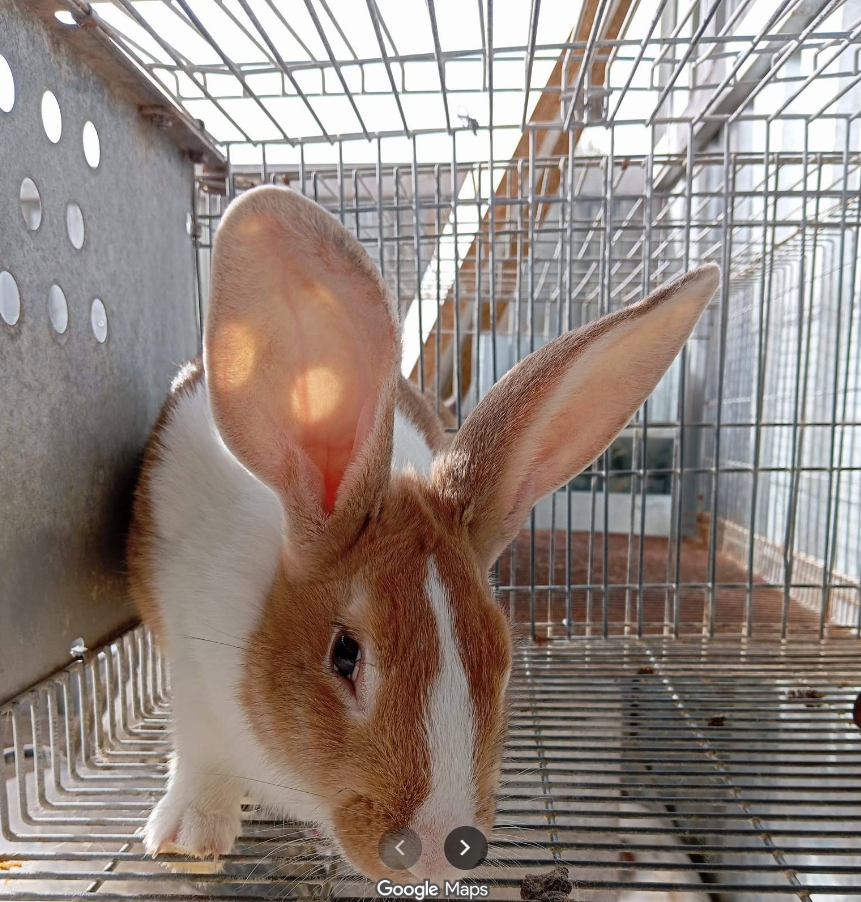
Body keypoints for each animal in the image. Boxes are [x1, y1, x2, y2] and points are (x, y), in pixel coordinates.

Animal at [127, 184, 720, 883]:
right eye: (345, 655)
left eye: (503, 654)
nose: (439, 852)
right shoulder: (189, 675)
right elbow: (199, 757)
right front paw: (190, 838)